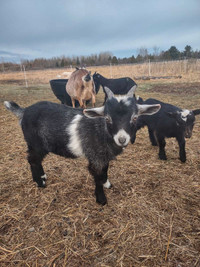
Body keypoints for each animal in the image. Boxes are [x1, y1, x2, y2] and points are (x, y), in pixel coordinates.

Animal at [3, 87, 160, 206]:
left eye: (134, 117)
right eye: (107, 118)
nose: (122, 139)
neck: (101, 130)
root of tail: (24, 111)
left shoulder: (103, 156)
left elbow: (105, 170)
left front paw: (107, 183)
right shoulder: (95, 157)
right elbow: (97, 175)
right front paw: (101, 199)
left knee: (36, 160)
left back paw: (43, 176)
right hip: (35, 143)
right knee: (33, 160)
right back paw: (40, 182)